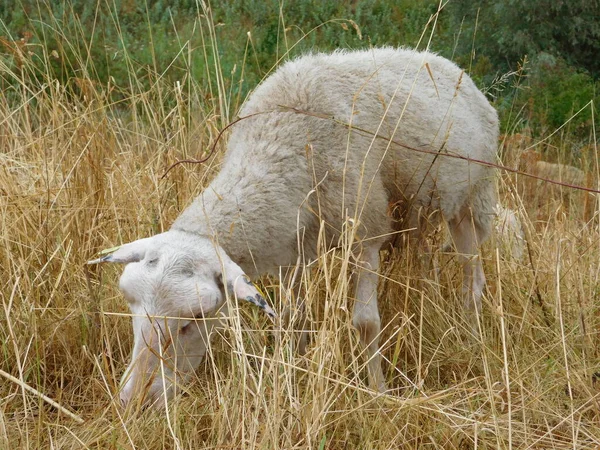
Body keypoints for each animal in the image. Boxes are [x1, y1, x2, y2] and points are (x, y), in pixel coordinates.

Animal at [89, 48, 500, 408]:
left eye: (194, 321)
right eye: (132, 310)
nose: (133, 402)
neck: (279, 146)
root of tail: (445, 63)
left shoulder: (365, 233)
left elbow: (366, 323)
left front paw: (378, 394)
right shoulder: (291, 252)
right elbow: (292, 320)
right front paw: (294, 377)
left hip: (474, 198)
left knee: (473, 274)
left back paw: (471, 330)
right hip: (420, 212)